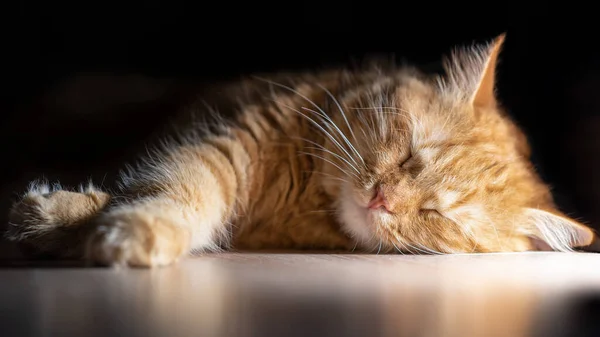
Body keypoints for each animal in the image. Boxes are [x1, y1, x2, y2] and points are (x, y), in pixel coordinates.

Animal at [3, 32, 596, 266]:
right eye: (409, 157)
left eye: (437, 215)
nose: (382, 200)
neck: (308, 198)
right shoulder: (227, 144)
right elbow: (173, 190)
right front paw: (74, 219)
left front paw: (72, 225)